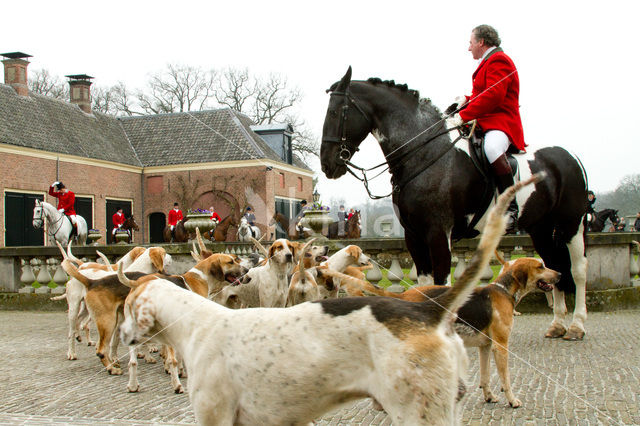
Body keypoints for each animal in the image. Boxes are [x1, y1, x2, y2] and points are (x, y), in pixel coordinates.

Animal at [322, 66, 588, 340]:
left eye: (335, 112)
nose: (326, 164)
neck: (423, 153)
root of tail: (569, 156)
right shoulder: (414, 236)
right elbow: (425, 284)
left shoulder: (438, 233)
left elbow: (442, 284)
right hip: (540, 227)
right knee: (554, 266)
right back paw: (557, 324)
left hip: (571, 223)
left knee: (578, 270)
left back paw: (576, 326)